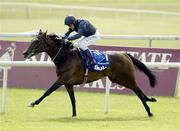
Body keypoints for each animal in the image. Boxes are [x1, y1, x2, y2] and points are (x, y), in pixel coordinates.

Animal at [23, 30, 157, 117]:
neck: (66, 56)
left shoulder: (62, 79)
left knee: (138, 91)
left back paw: (149, 111)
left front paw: (33, 103)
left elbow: (48, 91)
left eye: (36, 42)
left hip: (125, 78)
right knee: (138, 90)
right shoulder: (68, 84)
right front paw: (74, 115)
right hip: (117, 79)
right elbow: (73, 100)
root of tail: (125, 53)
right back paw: (150, 100)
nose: (25, 53)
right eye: (31, 40)